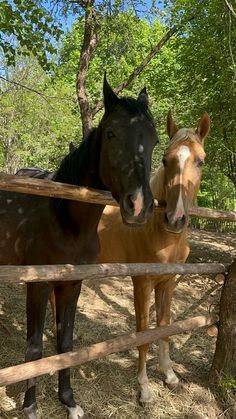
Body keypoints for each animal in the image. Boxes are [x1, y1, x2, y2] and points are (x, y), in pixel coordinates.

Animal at [0, 74, 159, 418]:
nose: (140, 206)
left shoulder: (72, 284)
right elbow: (35, 347)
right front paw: (30, 407)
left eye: (154, 140)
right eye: (111, 133)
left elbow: (66, 344)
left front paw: (69, 401)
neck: (65, 218)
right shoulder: (39, 285)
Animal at [96, 110, 210, 404]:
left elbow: (165, 328)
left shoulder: (167, 282)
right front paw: (144, 388)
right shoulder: (142, 283)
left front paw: (170, 376)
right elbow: (145, 334)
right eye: (164, 159)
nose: (175, 219)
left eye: (200, 161)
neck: (159, 233)